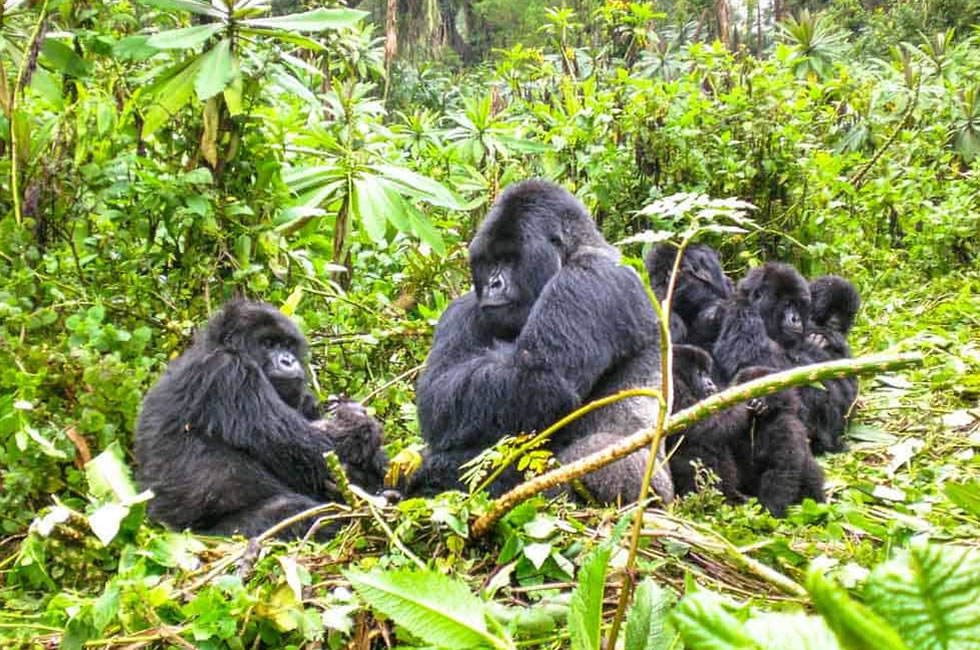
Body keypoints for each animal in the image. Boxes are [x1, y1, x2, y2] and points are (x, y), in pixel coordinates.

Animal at [134, 302, 386, 540]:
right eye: (268, 343)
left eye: (287, 345)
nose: (288, 360)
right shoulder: (228, 372)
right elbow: (308, 448)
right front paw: (358, 424)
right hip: (208, 538)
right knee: (292, 511)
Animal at [408, 180, 672, 504]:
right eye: (489, 261)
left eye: (510, 259)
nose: (493, 284)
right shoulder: (463, 309)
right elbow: (438, 390)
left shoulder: (590, 277)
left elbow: (538, 380)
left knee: (593, 452)